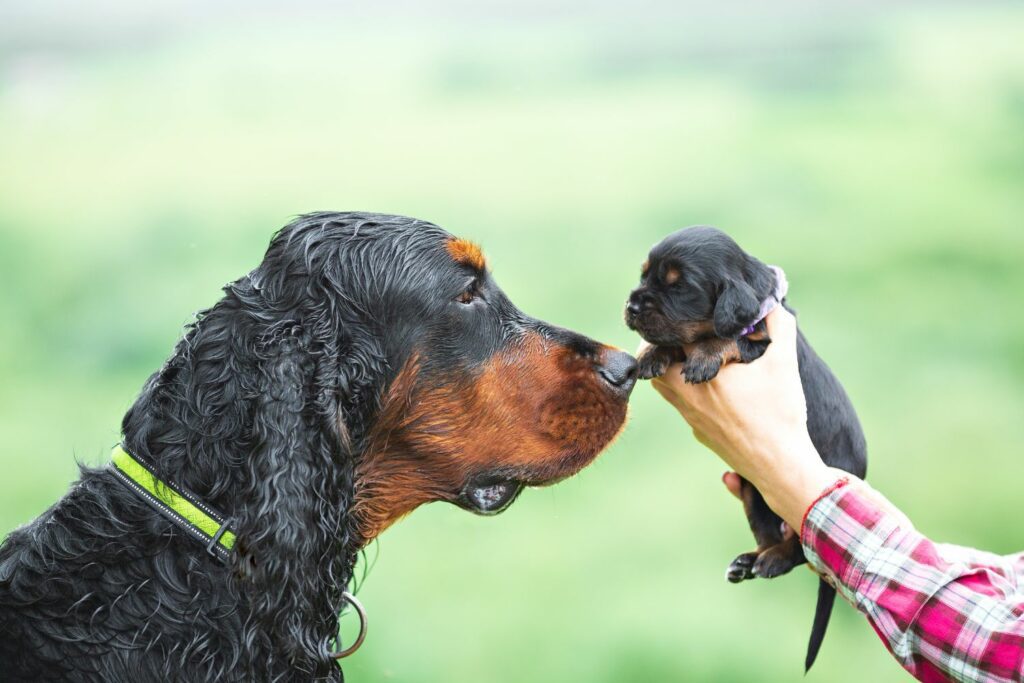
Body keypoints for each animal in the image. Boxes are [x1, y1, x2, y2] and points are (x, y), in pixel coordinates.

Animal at [618, 225, 868, 671]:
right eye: (644, 275)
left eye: (678, 286)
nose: (630, 305)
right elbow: (675, 341)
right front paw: (651, 354)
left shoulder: (759, 342)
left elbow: (725, 340)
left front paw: (702, 356)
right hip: (755, 495)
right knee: (771, 534)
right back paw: (749, 561)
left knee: (804, 550)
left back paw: (771, 560)